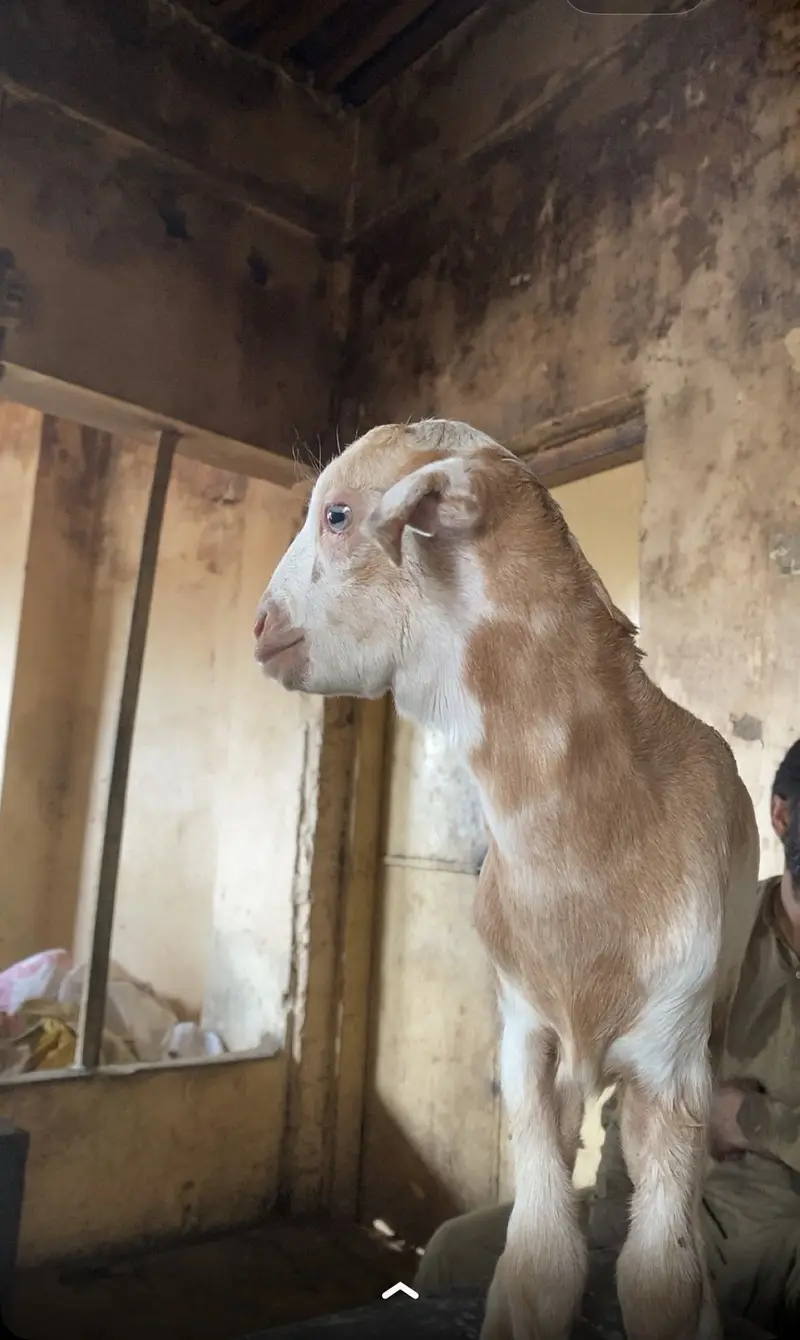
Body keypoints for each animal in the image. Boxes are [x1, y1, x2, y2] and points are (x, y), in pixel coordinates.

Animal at [253, 419, 760, 1340]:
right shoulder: (524, 1034)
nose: (260, 626)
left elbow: (661, 1278)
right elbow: (541, 1260)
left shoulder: (672, 1058)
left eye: (338, 513)